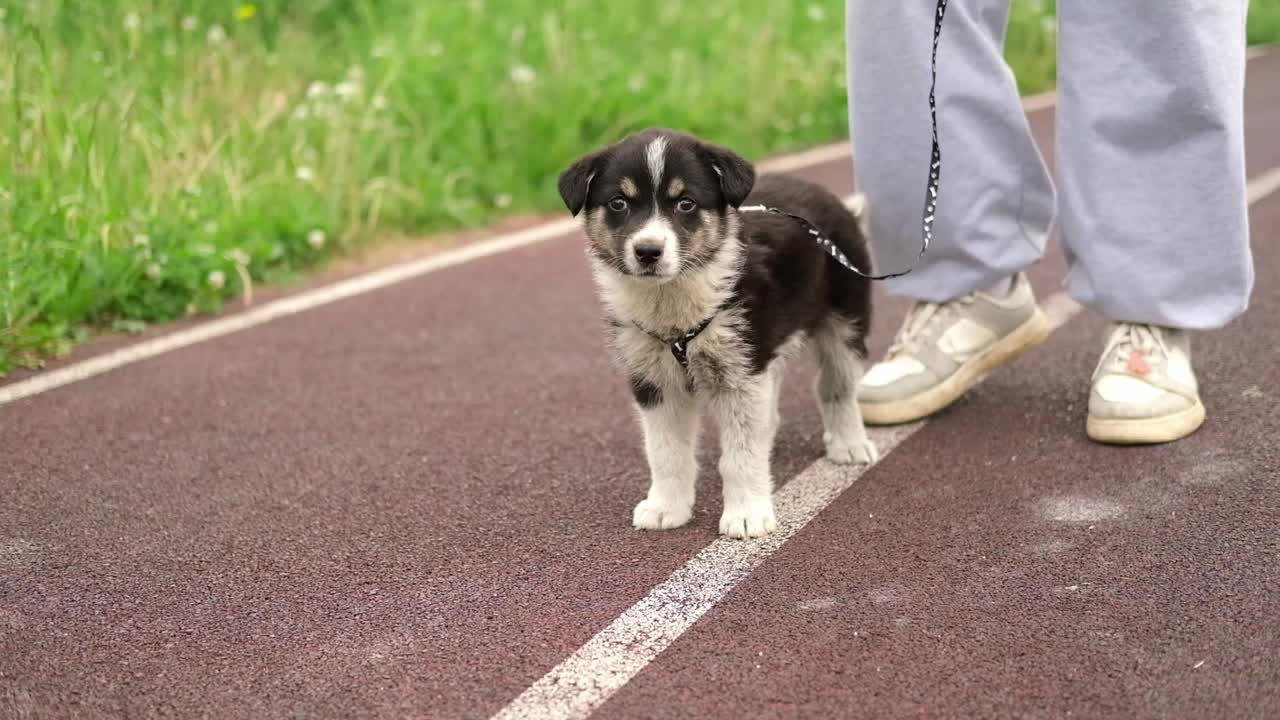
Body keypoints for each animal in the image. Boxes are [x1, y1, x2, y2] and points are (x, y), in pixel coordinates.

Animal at [560, 127, 880, 538]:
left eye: (686, 204)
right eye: (619, 203)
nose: (647, 251)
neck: (673, 300)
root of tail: (837, 203)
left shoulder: (740, 372)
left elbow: (741, 455)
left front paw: (746, 515)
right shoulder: (654, 379)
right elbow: (665, 451)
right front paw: (666, 508)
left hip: (845, 317)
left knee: (836, 385)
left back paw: (850, 445)